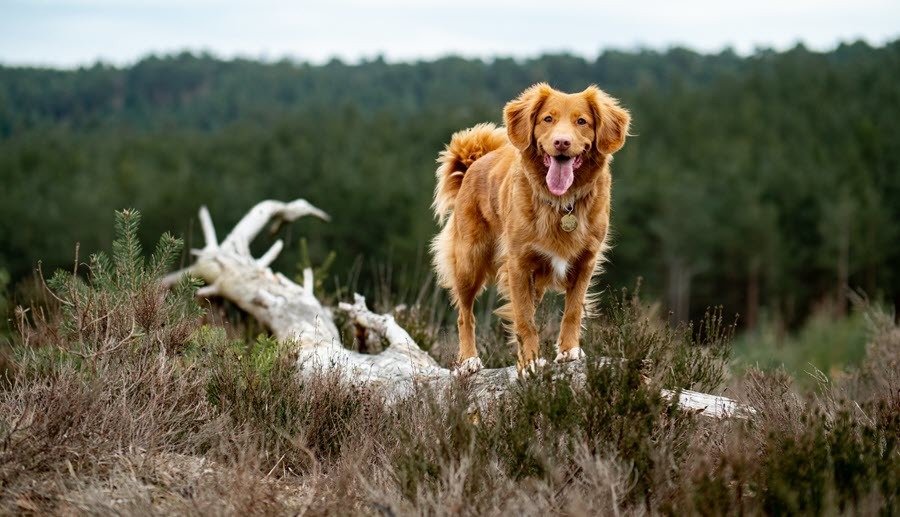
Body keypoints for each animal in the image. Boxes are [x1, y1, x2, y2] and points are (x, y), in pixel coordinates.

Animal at [430, 82, 628, 372]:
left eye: (582, 121)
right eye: (548, 119)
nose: (561, 142)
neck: (561, 203)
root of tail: (475, 163)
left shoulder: (585, 261)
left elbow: (573, 310)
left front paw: (569, 350)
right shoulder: (518, 265)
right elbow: (525, 318)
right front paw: (530, 362)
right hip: (469, 260)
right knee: (465, 314)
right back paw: (469, 360)